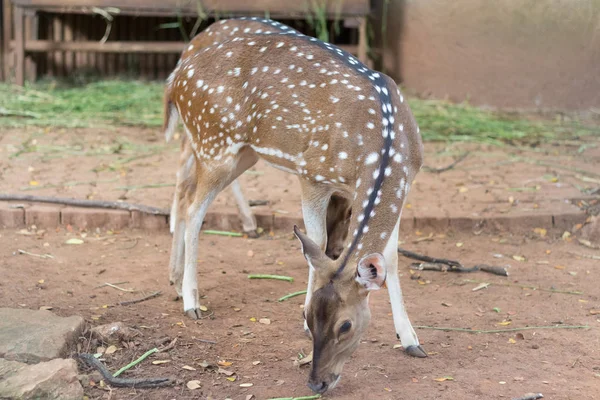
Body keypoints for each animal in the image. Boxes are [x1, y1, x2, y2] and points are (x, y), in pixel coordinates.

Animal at [164, 18, 426, 394]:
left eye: (345, 326)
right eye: (310, 317)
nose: (316, 383)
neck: (384, 147)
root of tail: (174, 79)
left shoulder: (406, 183)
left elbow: (389, 257)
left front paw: (411, 340)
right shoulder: (312, 174)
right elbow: (316, 241)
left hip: (240, 151)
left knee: (186, 191)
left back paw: (175, 280)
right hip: (215, 143)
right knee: (193, 210)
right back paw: (191, 301)